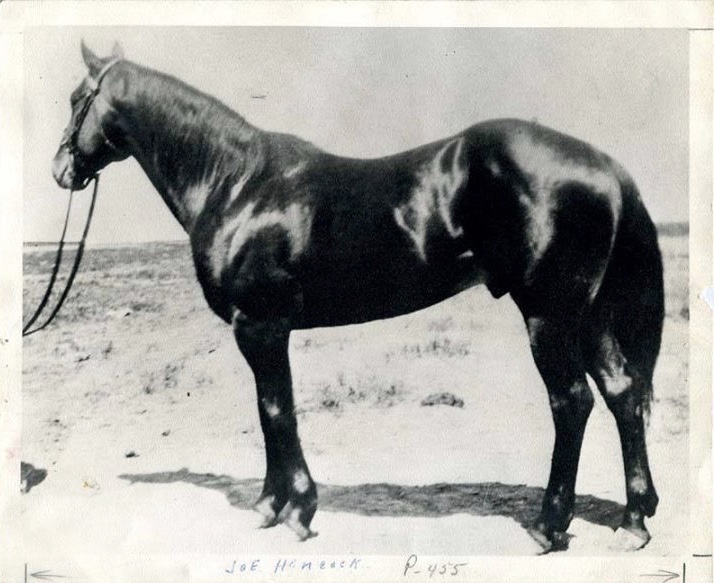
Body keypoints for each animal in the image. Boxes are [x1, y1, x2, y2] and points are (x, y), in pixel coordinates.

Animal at [51, 41, 664, 552]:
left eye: (78, 98)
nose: (61, 170)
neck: (237, 183)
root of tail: (609, 169)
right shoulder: (261, 330)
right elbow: (267, 411)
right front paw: (270, 505)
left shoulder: (259, 325)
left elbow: (276, 410)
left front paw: (296, 510)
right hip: (589, 317)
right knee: (622, 393)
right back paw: (633, 521)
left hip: (548, 317)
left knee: (573, 402)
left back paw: (549, 525)